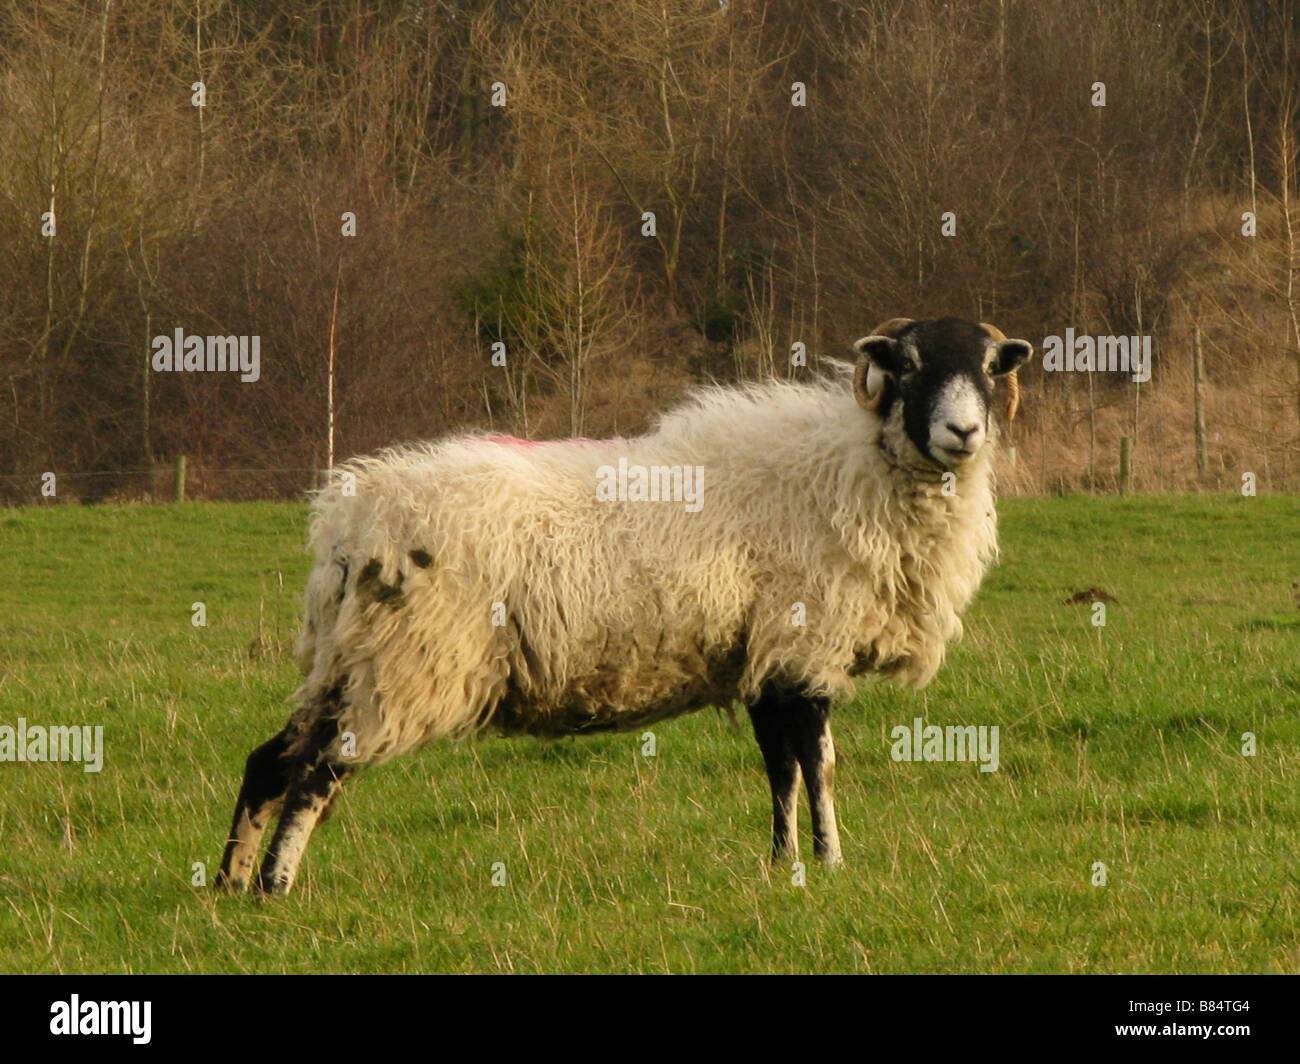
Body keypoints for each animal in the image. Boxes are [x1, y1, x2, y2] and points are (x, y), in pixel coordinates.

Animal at [218, 310, 1029, 889]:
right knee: (318, 770)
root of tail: (348, 521)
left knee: (271, 760)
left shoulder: (766, 660)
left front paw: (783, 866)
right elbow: (817, 765)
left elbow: (781, 771)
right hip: (406, 662)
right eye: (909, 366)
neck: (851, 471)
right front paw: (830, 865)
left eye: (990, 369)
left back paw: (230, 885)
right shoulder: (804, 648)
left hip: (346, 660)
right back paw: (275, 884)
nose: (963, 431)